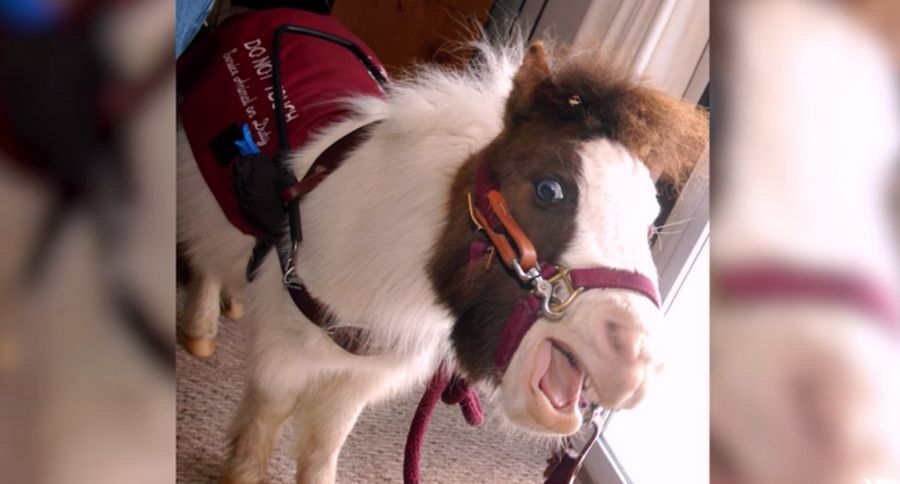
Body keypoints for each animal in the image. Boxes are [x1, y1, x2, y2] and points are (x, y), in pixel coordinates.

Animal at [176, 9, 708, 483]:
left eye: (650, 222)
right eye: (550, 189)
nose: (636, 361)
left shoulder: (357, 376)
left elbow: (324, 445)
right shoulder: (282, 359)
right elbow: (263, 427)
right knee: (201, 259)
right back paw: (200, 332)